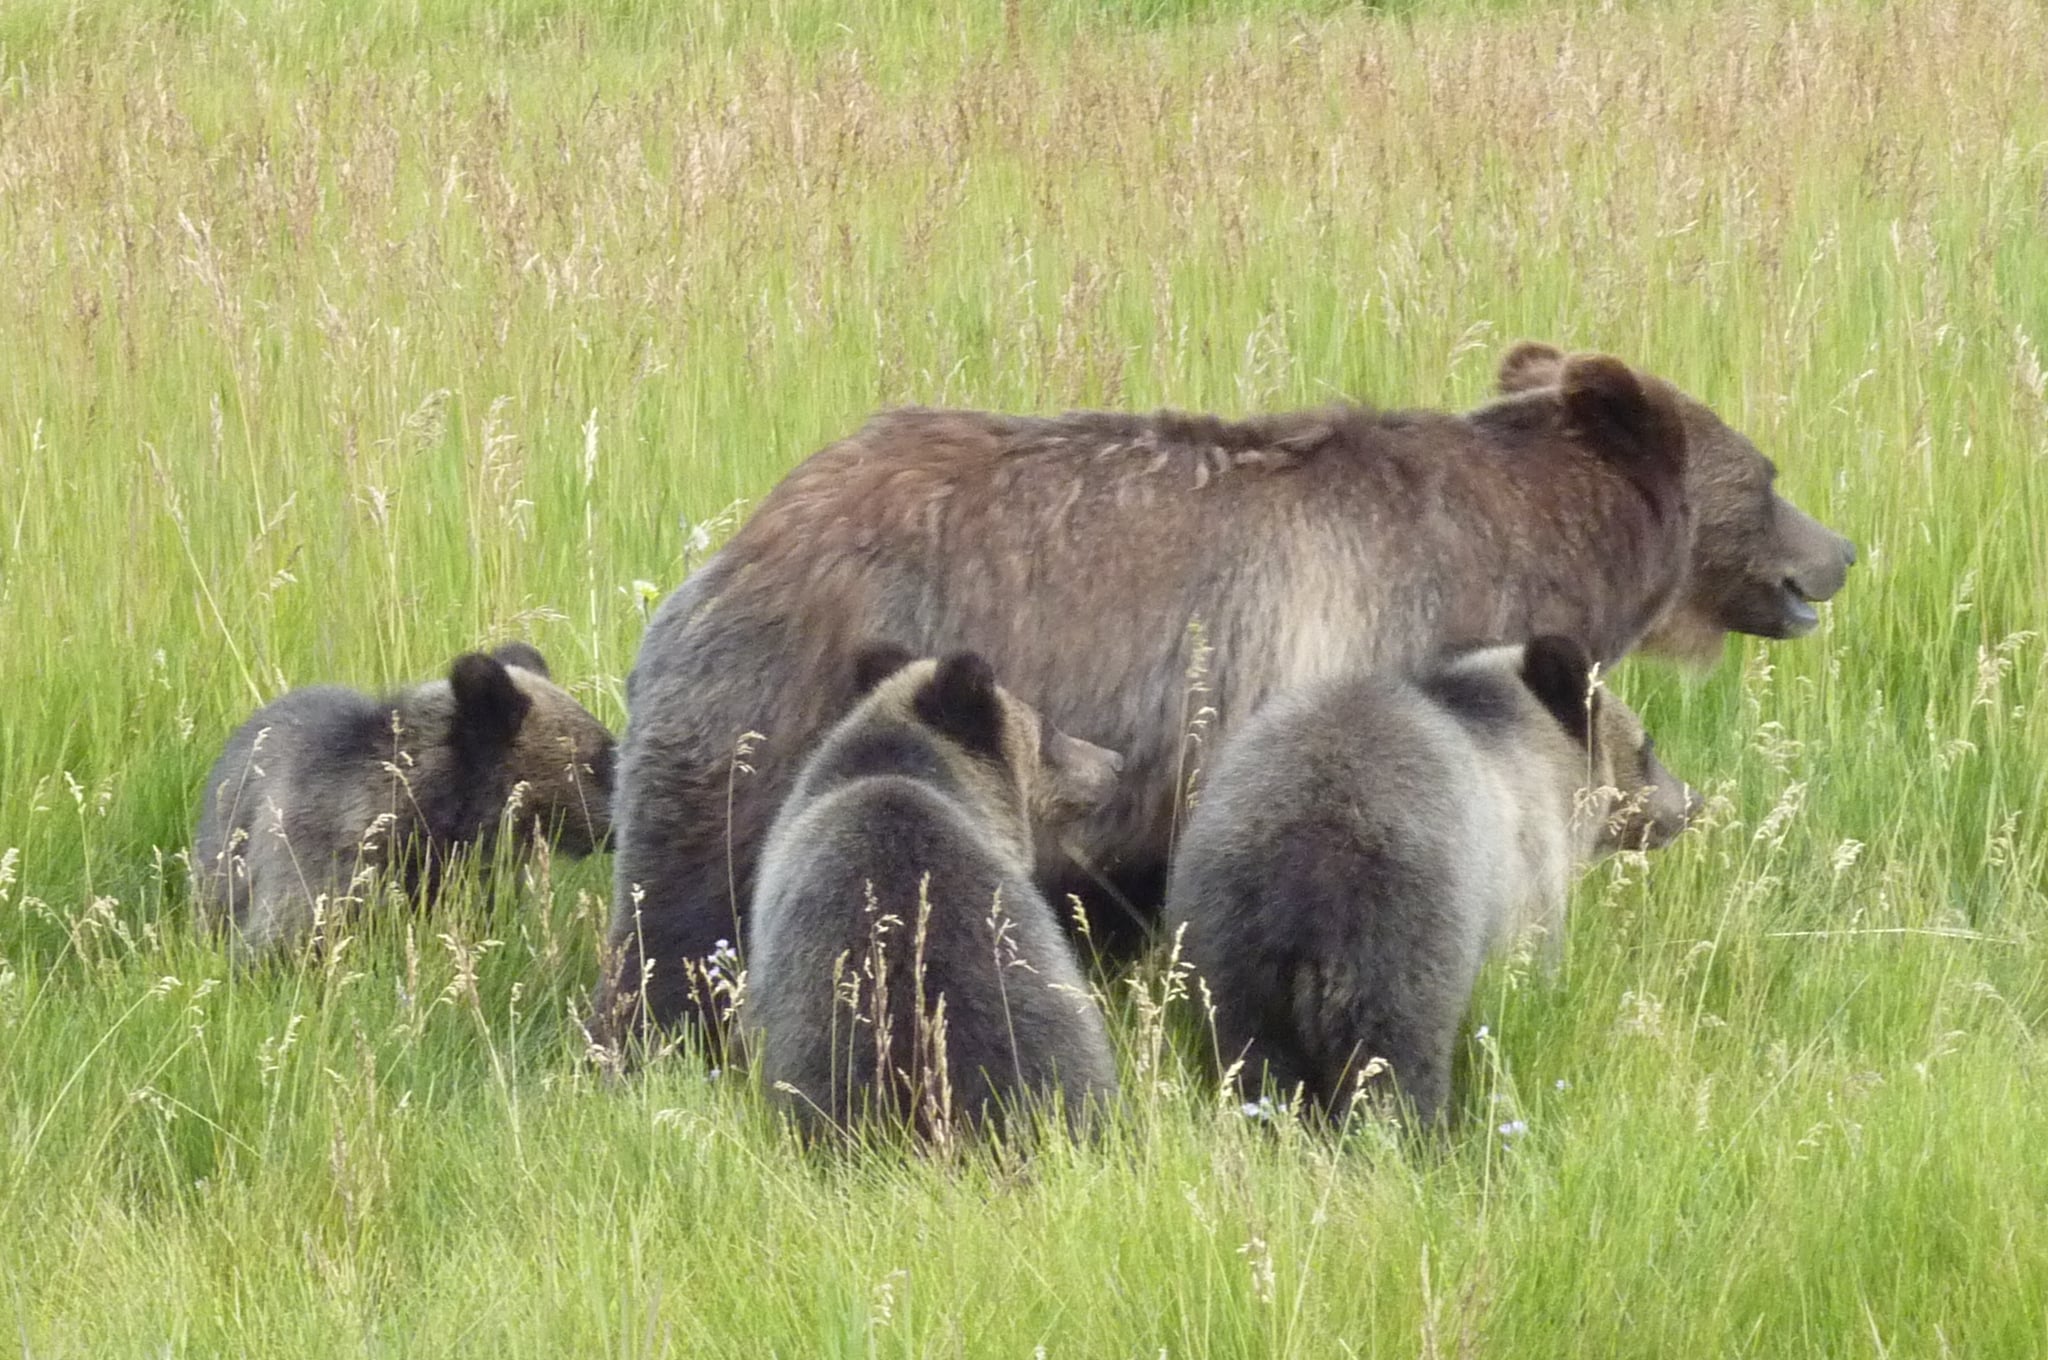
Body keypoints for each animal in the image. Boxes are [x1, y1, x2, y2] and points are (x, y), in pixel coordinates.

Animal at [594, 342, 1849, 1046]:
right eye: (1768, 474)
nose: (1836, 552)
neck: (1526, 553)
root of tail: (735, 545)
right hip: (764, 714)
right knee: (685, 911)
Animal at [1161, 635, 1699, 1128]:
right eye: (1647, 745)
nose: (1692, 802)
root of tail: (1304, 861)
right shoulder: (1525, 886)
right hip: (1404, 932)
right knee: (1396, 1060)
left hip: (1228, 936)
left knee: (1253, 1056)